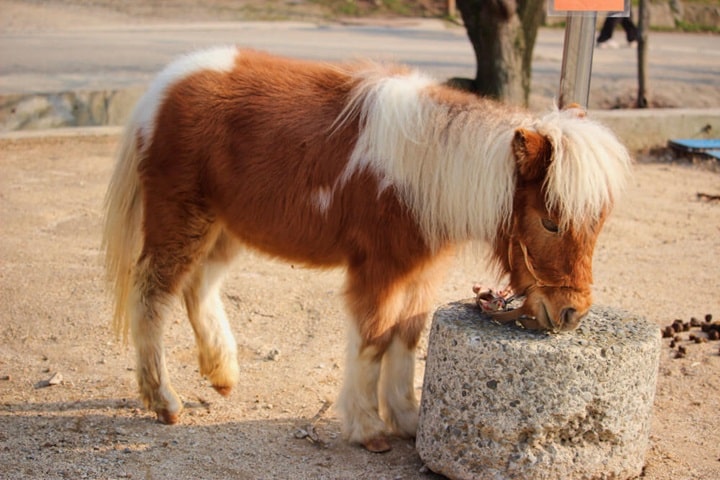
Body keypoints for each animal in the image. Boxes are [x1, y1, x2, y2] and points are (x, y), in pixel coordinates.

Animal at [102, 47, 631, 453]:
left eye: (598, 224)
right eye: (550, 221)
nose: (571, 313)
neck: (425, 173)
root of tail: (164, 89)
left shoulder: (420, 275)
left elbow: (407, 338)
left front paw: (408, 420)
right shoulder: (379, 273)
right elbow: (375, 339)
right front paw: (368, 429)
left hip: (225, 229)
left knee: (200, 287)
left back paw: (222, 373)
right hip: (182, 222)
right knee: (153, 298)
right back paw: (165, 402)